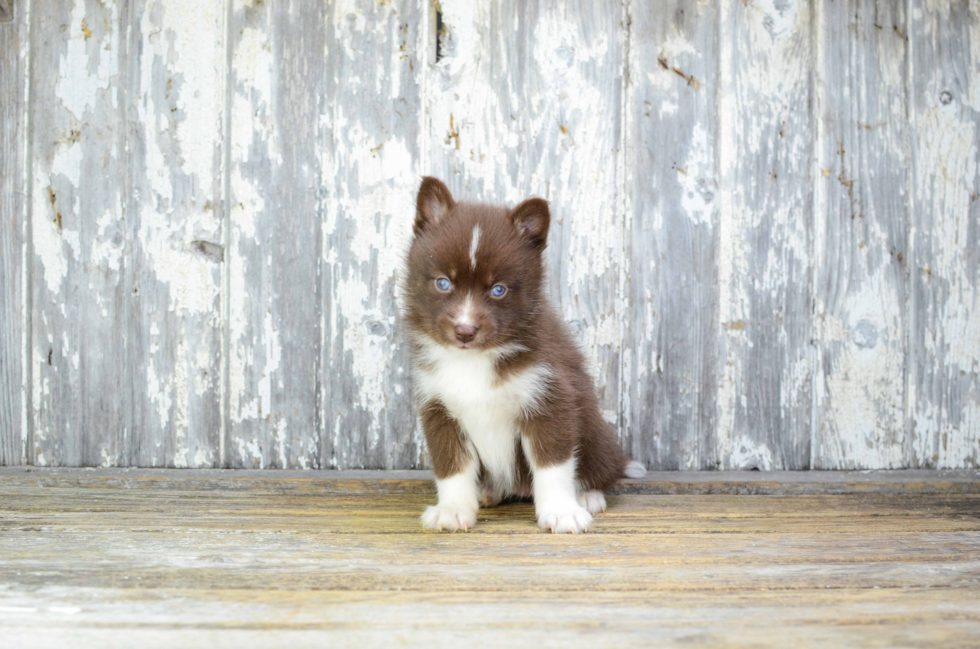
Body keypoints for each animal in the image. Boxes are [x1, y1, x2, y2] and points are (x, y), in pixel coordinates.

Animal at [404, 176, 644, 532]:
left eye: (498, 290)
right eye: (443, 283)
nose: (464, 331)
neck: (475, 360)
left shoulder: (549, 395)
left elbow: (553, 463)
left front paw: (561, 510)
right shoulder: (438, 406)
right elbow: (451, 465)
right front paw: (453, 508)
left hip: (595, 430)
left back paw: (586, 493)